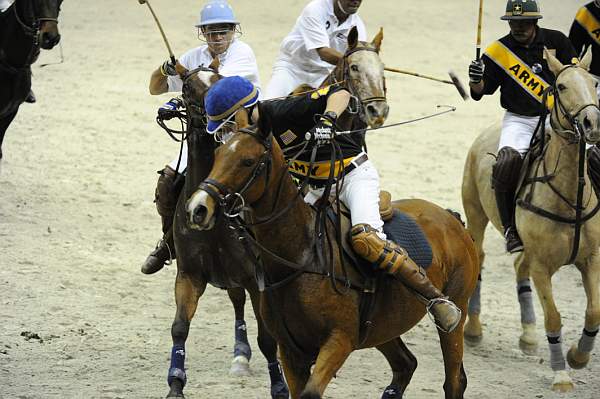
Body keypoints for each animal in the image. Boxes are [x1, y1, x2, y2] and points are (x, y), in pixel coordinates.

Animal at [188, 29, 478, 398]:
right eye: (219, 154)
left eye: (248, 161)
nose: (198, 207)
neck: (296, 258)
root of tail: (451, 218)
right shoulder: (291, 352)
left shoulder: (339, 341)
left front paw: (324, 128)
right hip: (383, 327)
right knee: (405, 364)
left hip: (457, 312)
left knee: (453, 377)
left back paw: (443, 310)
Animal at [462, 48, 600, 392]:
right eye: (561, 86)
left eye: (593, 82)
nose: (592, 123)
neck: (571, 196)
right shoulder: (542, 267)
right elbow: (554, 317)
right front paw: (561, 374)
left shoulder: (591, 259)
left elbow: (594, 311)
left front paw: (579, 356)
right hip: (475, 212)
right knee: (479, 257)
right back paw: (473, 330)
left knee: (517, 265)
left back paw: (527, 335)